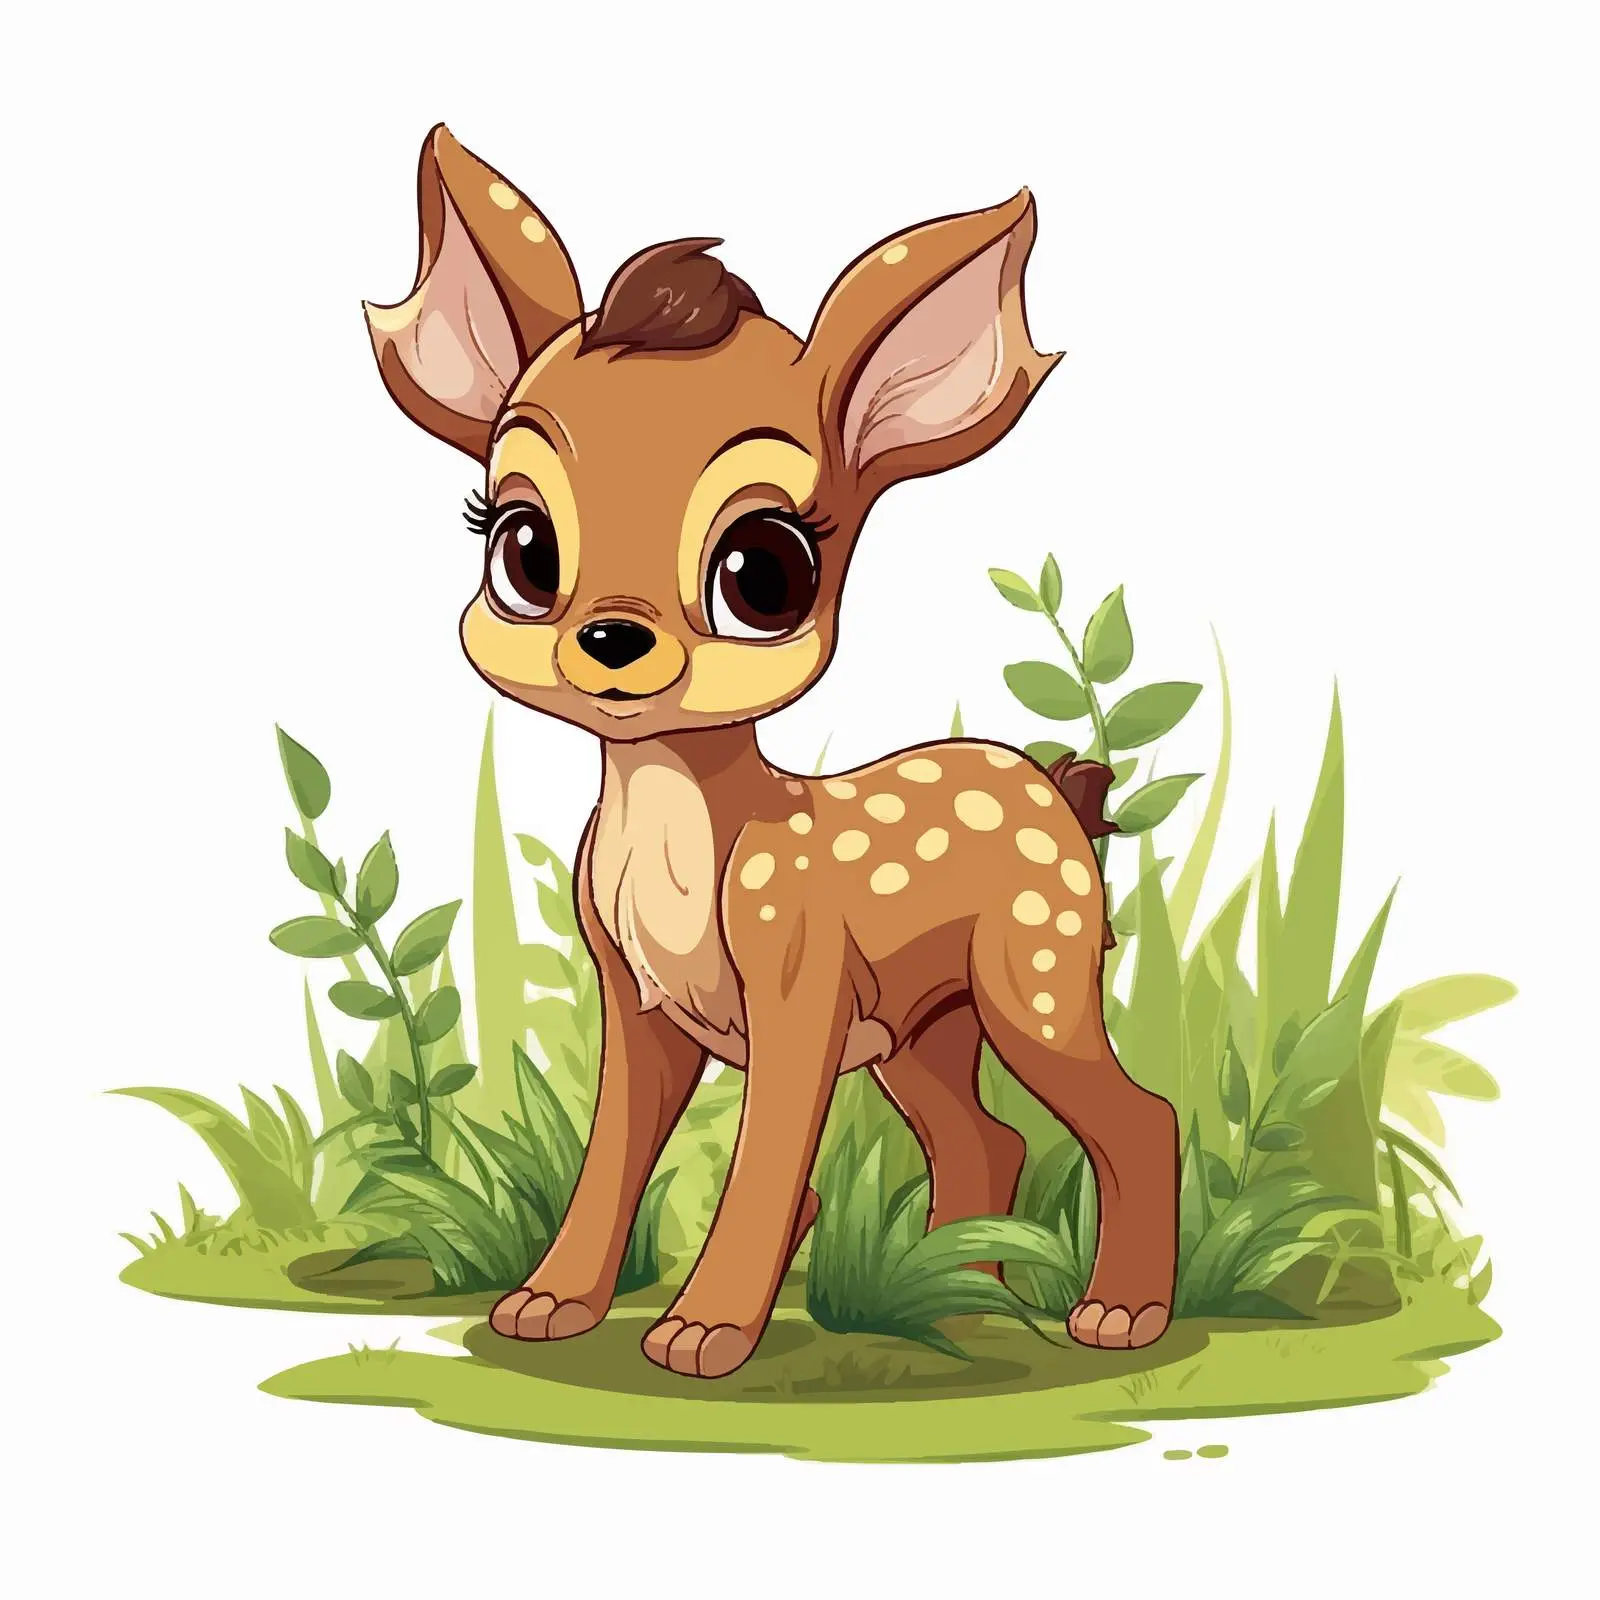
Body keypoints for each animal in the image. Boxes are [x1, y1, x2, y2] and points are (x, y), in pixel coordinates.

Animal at [364, 125, 1178, 1379]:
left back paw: (1115, 1314)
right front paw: (546, 1304)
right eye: (521, 546)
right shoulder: (639, 1005)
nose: (611, 639)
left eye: (765, 572)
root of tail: (1054, 786)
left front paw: (702, 1332)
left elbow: (766, 1163)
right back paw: (959, 1299)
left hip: (1030, 977)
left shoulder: (799, 986)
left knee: (1139, 1116)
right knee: (984, 1136)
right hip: (921, 1029)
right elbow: (613, 1156)